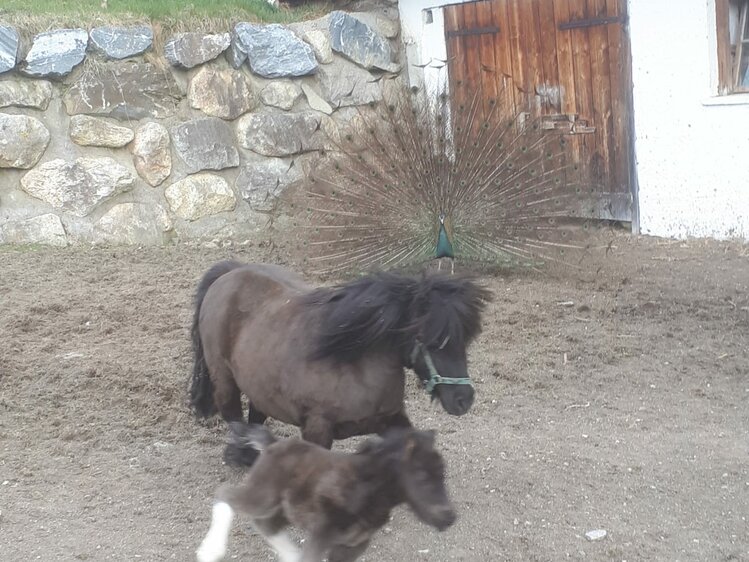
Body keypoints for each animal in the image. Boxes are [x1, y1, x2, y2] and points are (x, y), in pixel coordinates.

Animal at [190, 260, 488, 462]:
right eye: (432, 341)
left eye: (466, 340)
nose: (463, 399)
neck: (353, 365)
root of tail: (232, 272)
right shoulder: (317, 430)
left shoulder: (392, 419)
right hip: (224, 378)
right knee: (233, 415)